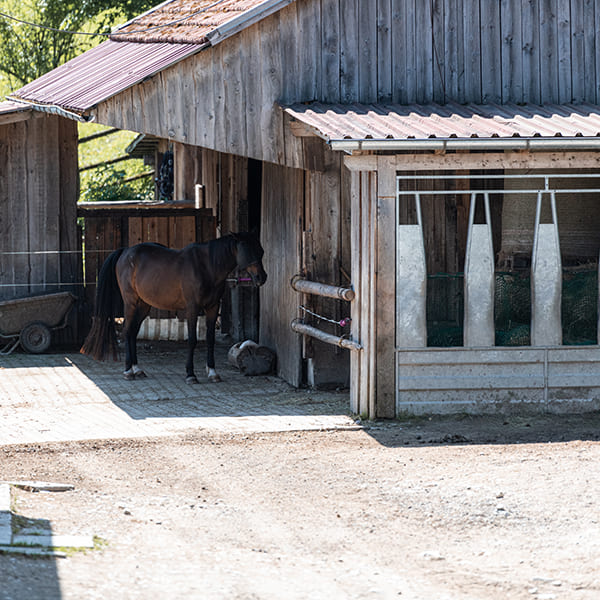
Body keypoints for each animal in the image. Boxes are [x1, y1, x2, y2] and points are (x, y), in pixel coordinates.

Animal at [81, 232, 268, 382]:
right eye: (247, 251)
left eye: (261, 251)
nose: (262, 277)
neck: (206, 266)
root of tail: (125, 251)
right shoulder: (193, 308)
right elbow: (192, 340)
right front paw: (190, 374)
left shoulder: (213, 308)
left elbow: (210, 339)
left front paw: (213, 372)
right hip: (131, 303)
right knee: (127, 332)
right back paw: (128, 371)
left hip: (143, 305)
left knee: (133, 332)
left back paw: (137, 369)